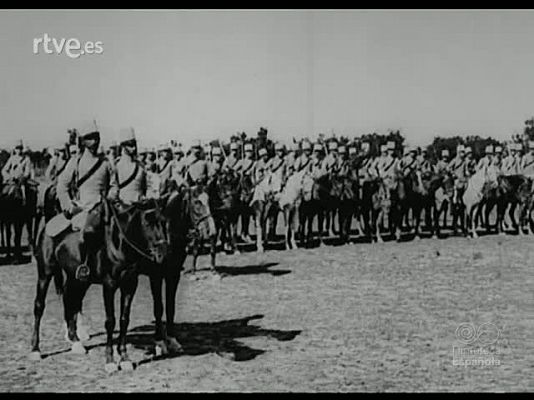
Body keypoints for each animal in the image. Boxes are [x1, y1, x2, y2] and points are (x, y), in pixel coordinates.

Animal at [30, 198, 169, 372]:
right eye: (147, 223)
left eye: (164, 222)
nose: (162, 253)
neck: (119, 245)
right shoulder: (109, 285)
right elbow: (110, 321)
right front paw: (110, 361)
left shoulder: (130, 284)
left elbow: (124, 319)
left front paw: (125, 358)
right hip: (45, 273)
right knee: (39, 306)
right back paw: (35, 350)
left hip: (78, 280)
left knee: (70, 302)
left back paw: (76, 342)